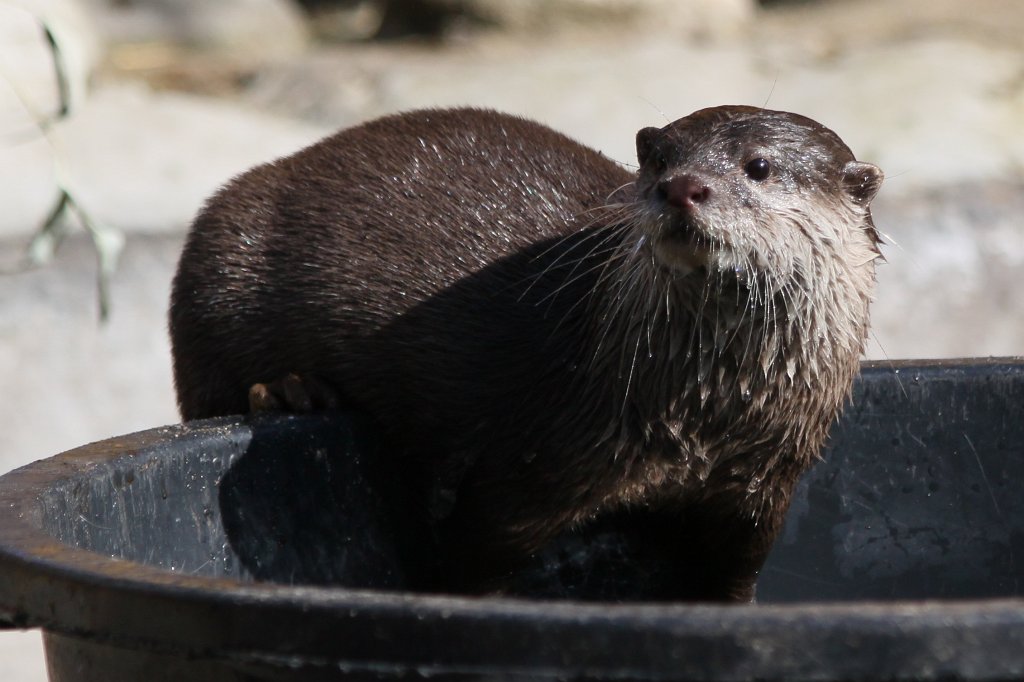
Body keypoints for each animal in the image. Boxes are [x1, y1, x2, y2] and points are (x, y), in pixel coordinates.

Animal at [169, 106, 883, 601]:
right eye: (658, 160)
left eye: (758, 166)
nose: (682, 186)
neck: (703, 416)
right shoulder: (534, 462)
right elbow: (473, 551)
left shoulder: (761, 489)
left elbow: (733, 578)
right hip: (223, 254)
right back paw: (291, 391)